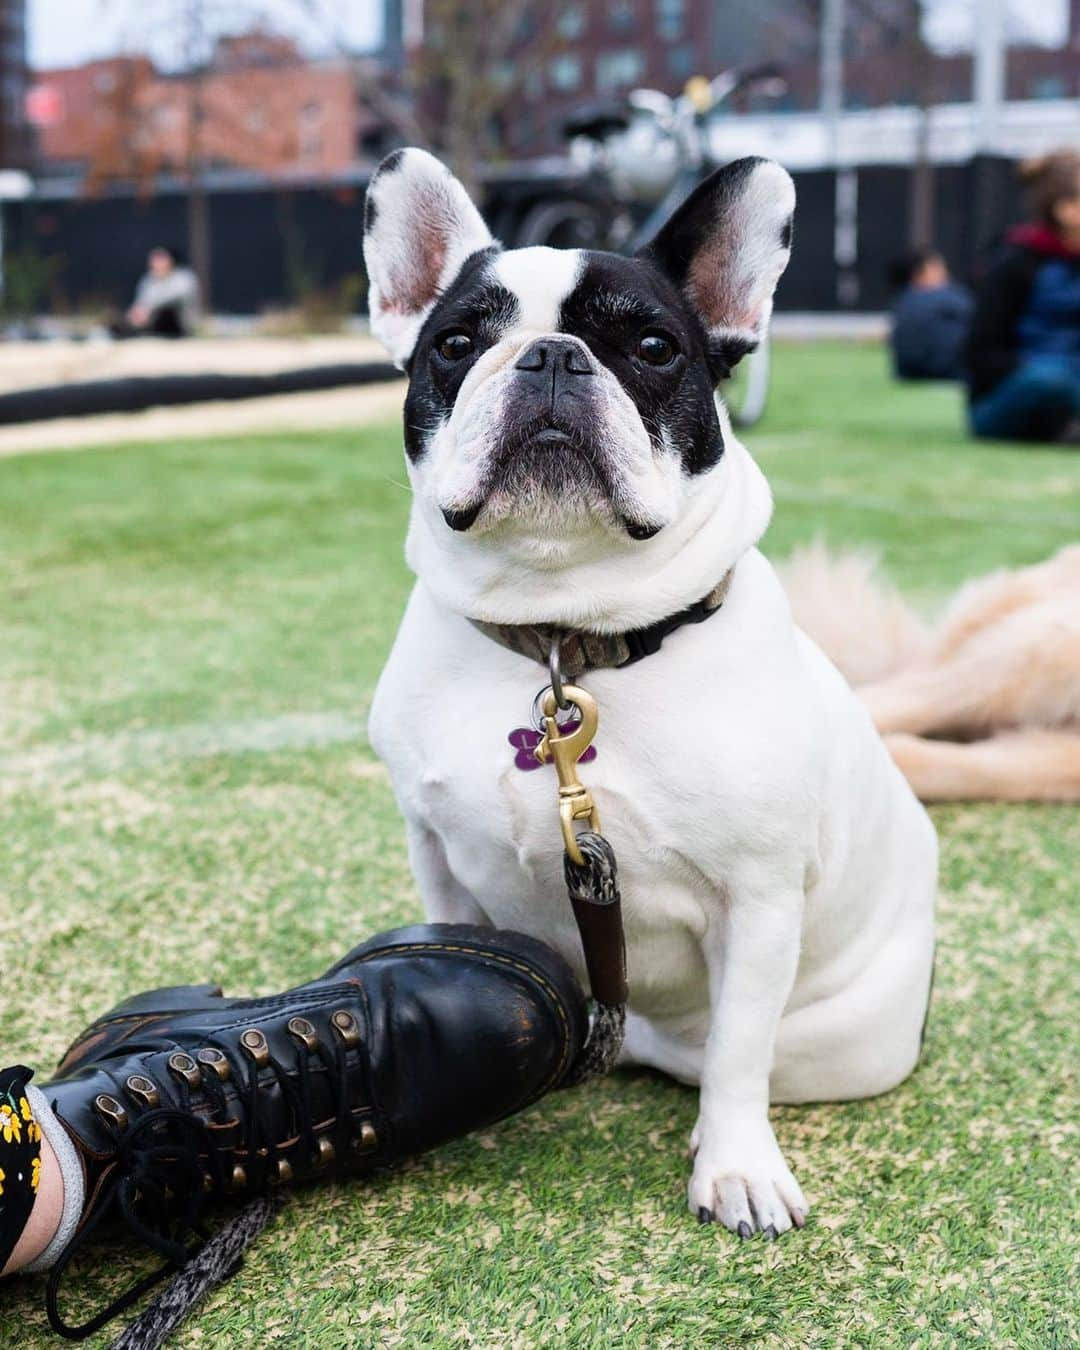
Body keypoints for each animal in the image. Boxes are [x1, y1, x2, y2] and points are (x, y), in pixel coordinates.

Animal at [361, 147, 934, 1236]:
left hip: (847, 1042)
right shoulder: (437, 859)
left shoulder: (758, 900)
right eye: (455, 343)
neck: (564, 637)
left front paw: (738, 1166)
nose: (549, 358)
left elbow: (741, 1048)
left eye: (656, 347)